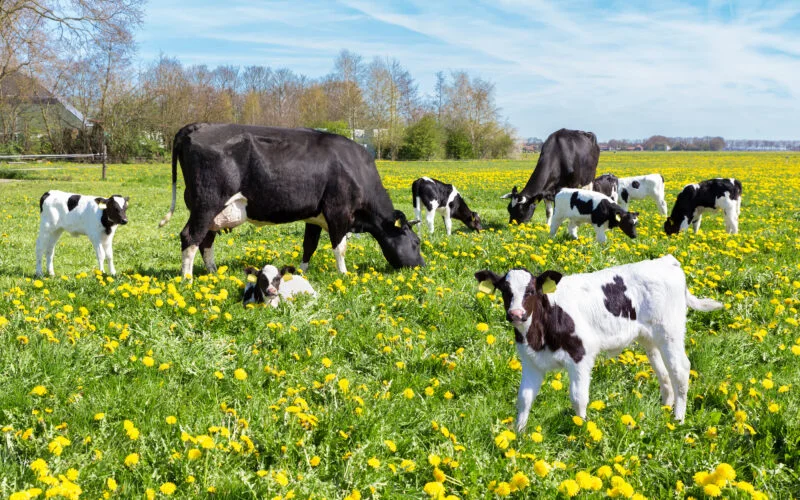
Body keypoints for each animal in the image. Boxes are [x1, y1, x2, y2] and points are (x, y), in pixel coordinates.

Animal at [159, 121, 428, 278]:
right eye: (416, 242)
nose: (422, 266)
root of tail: (197, 125)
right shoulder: (339, 211)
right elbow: (340, 247)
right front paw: (343, 274)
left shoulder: (315, 216)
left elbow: (309, 245)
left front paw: (302, 272)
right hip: (206, 203)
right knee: (190, 237)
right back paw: (187, 279)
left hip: (212, 211)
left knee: (205, 240)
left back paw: (213, 274)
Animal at [476, 256, 724, 432]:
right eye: (505, 291)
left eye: (530, 291)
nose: (516, 314)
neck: (538, 332)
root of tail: (667, 261)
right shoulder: (531, 361)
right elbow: (524, 399)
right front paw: (518, 433)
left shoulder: (580, 356)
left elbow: (578, 397)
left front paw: (581, 429)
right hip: (650, 339)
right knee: (663, 373)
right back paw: (665, 410)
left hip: (670, 333)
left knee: (680, 370)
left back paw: (678, 419)